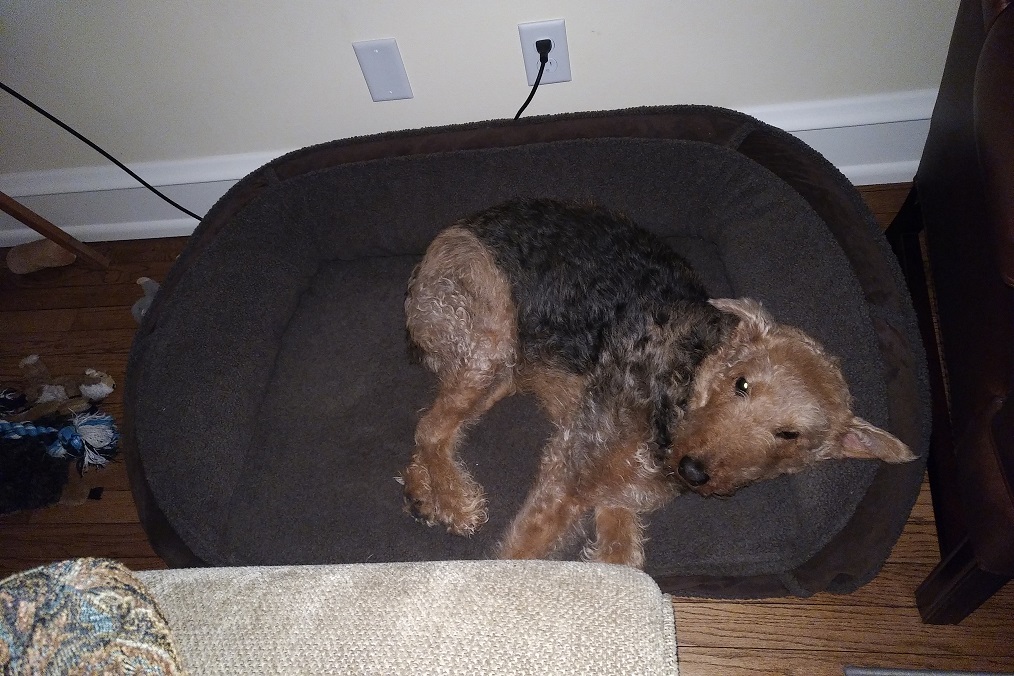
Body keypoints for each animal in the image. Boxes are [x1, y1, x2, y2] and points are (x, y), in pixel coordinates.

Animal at [402, 198, 915, 567]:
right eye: (742, 384)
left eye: (789, 435)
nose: (693, 470)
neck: (687, 380)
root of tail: (445, 238)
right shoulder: (571, 473)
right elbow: (521, 553)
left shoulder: (616, 491)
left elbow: (621, 557)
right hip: (490, 343)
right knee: (431, 428)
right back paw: (457, 501)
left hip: (500, 371)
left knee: (433, 425)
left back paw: (423, 493)